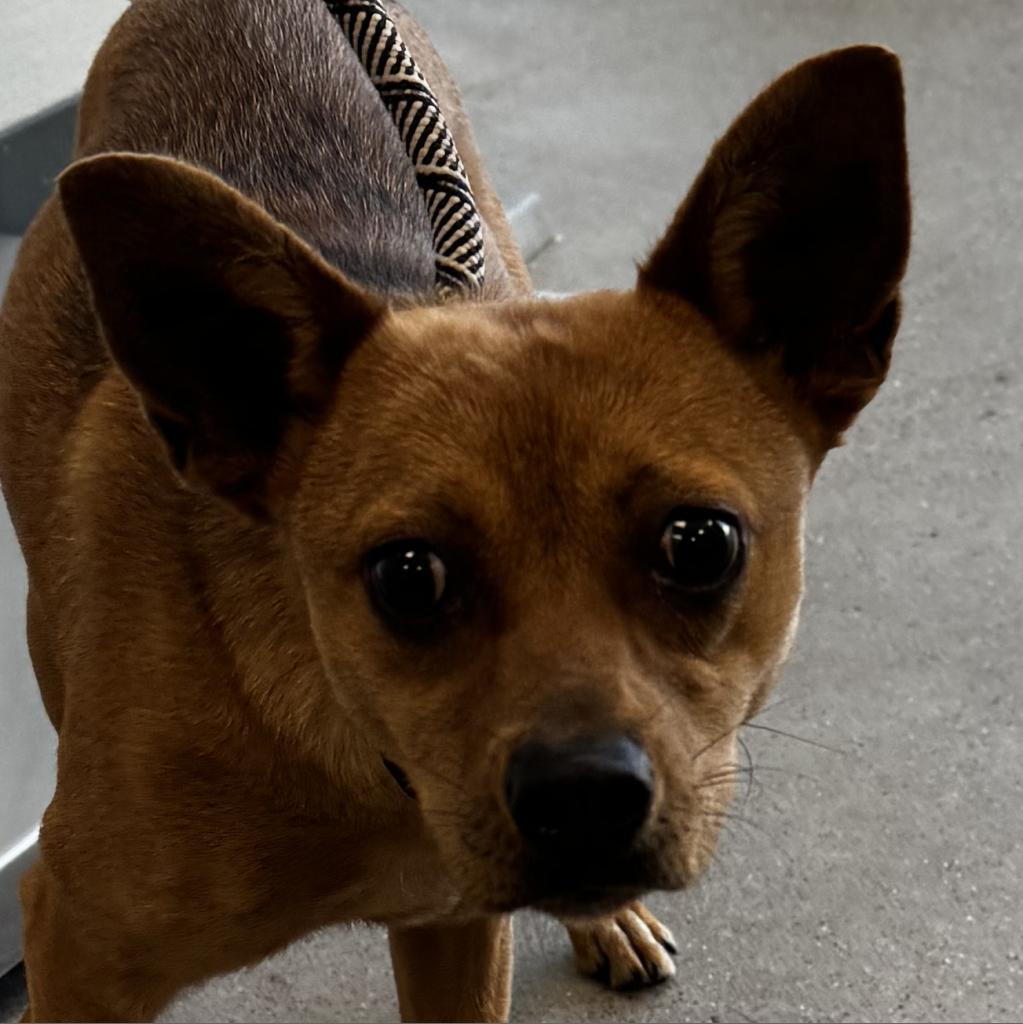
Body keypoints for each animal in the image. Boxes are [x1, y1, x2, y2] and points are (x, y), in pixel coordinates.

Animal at [0, 0, 913, 1019]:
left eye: (699, 544)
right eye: (407, 577)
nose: (581, 798)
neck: (368, 768)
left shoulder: (460, 934)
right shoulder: (76, 961)